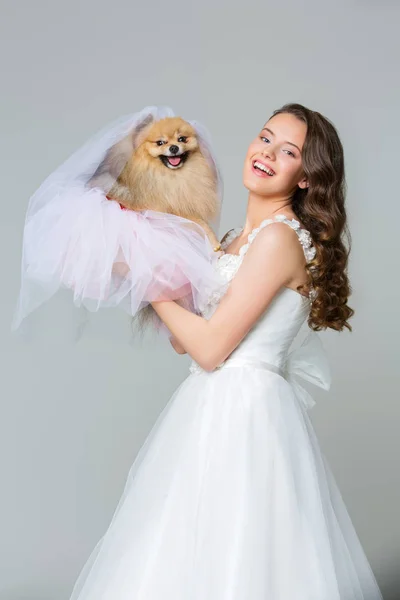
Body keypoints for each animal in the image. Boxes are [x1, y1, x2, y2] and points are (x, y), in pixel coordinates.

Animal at [90, 114, 222, 251]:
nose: (173, 147)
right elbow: (198, 221)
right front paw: (214, 241)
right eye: (160, 143)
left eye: (182, 139)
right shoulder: (164, 209)